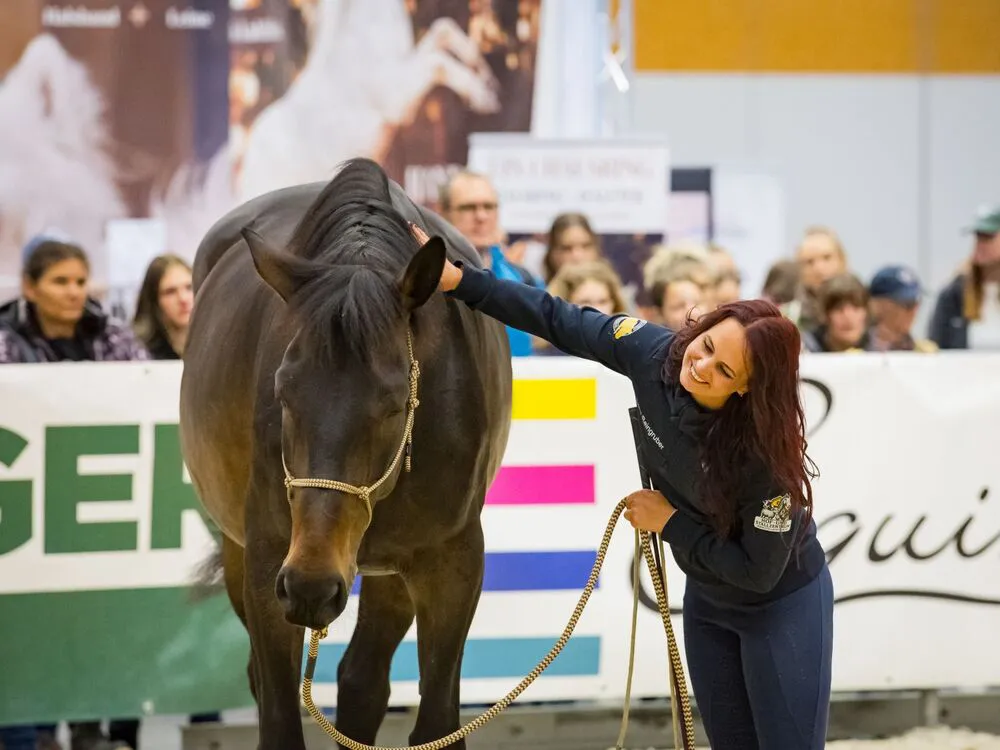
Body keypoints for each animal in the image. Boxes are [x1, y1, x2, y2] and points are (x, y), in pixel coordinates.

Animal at [179, 157, 512, 750]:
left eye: (397, 403)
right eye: (283, 392)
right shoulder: (269, 562)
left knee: (362, 681)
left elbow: (437, 722)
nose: (311, 584)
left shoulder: (451, 562)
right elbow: (279, 720)